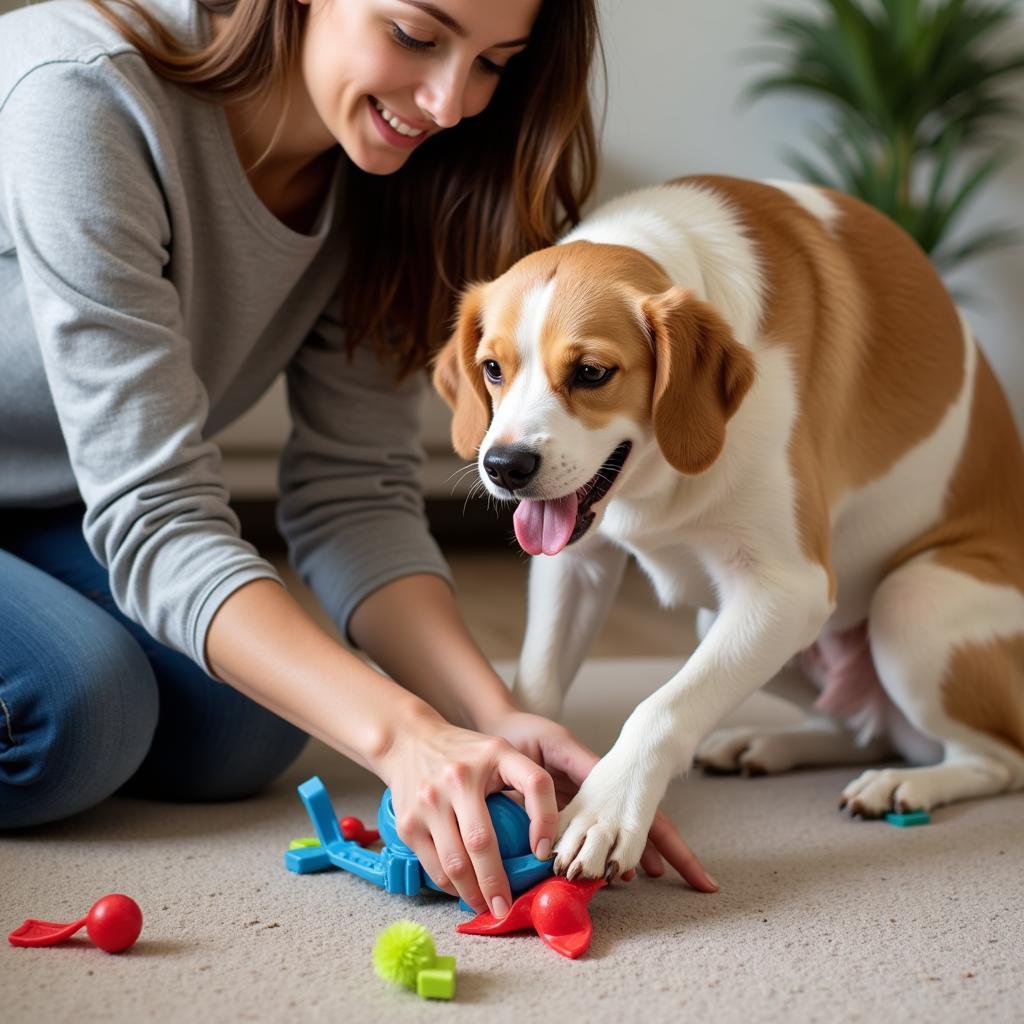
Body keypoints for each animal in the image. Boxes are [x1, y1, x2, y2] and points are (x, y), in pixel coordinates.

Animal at [432, 174, 1024, 880]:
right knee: (867, 727)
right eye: (492, 368)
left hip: (909, 604)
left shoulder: (789, 590)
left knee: (994, 759)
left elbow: (662, 708)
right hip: (722, 623)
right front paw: (520, 767)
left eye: (591, 373)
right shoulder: (577, 565)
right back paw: (766, 744)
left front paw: (607, 807)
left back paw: (904, 783)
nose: (504, 466)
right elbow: (537, 682)